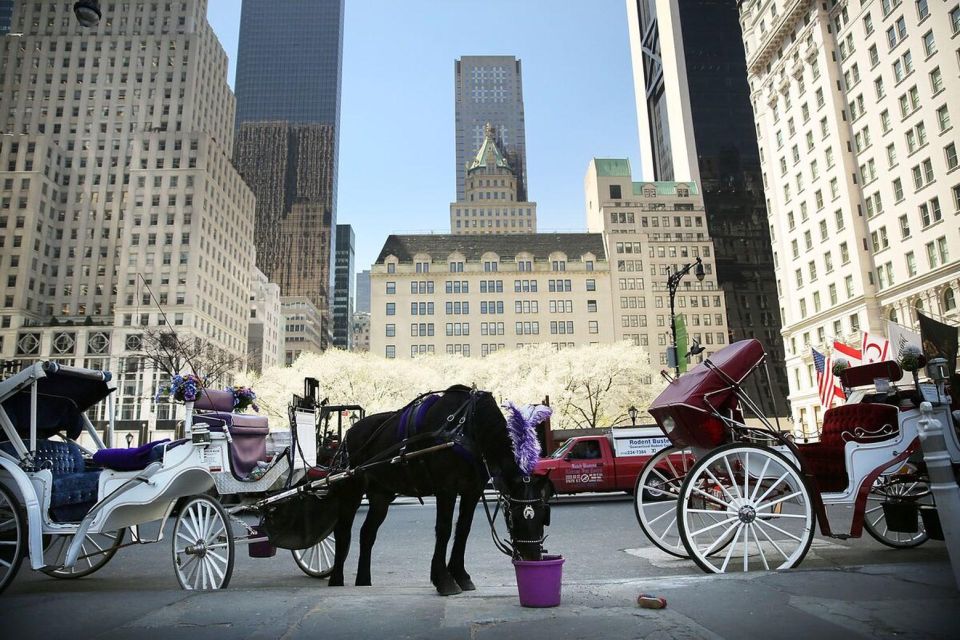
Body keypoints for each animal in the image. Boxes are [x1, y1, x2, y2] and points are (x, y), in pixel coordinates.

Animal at [330, 384, 556, 596]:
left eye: (543, 516)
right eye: (516, 516)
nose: (533, 558)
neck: (468, 426)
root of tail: (349, 432)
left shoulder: (472, 490)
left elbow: (463, 529)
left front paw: (460, 574)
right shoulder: (446, 488)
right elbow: (444, 529)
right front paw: (443, 579)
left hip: (381, 495)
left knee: (367, 533)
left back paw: (363, 580)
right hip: (352, 491)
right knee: (343, 532)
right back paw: (335, 579)